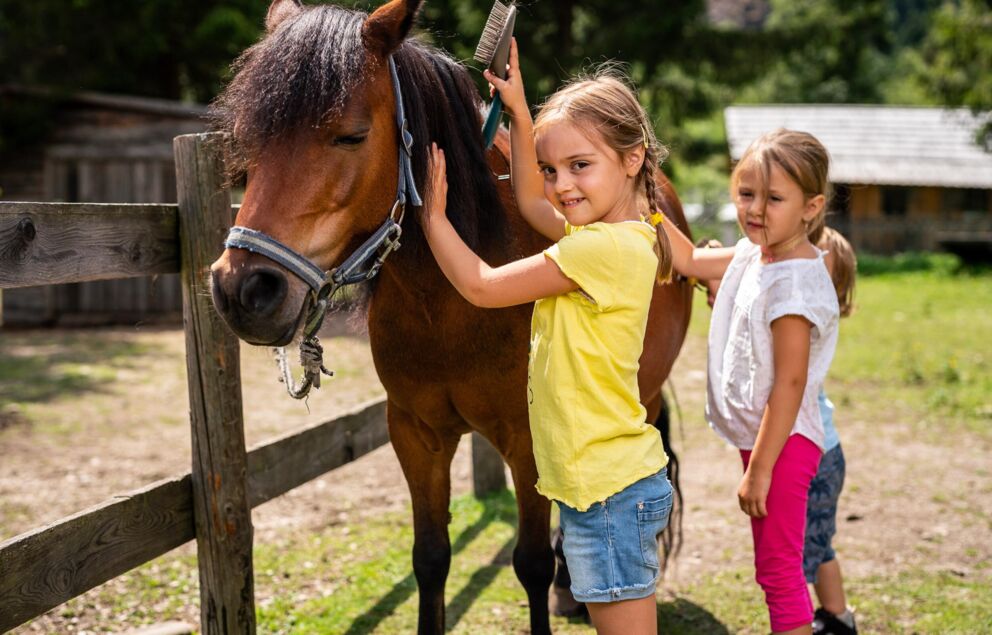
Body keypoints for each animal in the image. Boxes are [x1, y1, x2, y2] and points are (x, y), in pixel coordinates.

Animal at [208, 2, 688, 632]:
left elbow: (530, 561)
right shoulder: (415, 434)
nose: (243, 290)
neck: (448, 306)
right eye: (251, 141)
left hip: (643, 397)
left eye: (350, 135)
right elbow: (431, 558)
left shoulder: (528, 440)